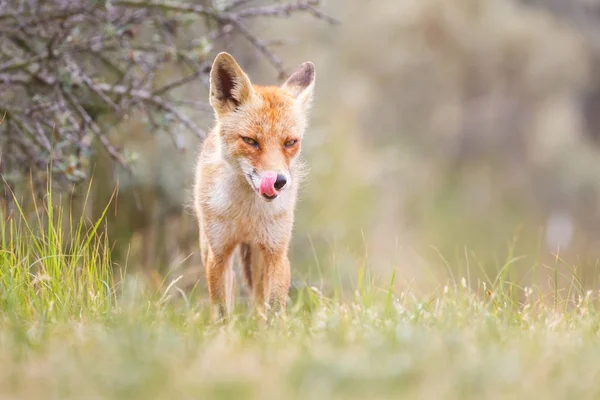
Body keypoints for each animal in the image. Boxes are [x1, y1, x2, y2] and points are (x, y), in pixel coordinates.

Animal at [195, 53, 316, 322]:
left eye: (290, 142)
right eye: (250, 141)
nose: (278, 181)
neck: (246, 214)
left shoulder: (276, 253)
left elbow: (274, 308)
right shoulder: (219, 255)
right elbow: (222, 311)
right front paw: (223, 332)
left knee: (259, 300)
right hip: (209, 247)